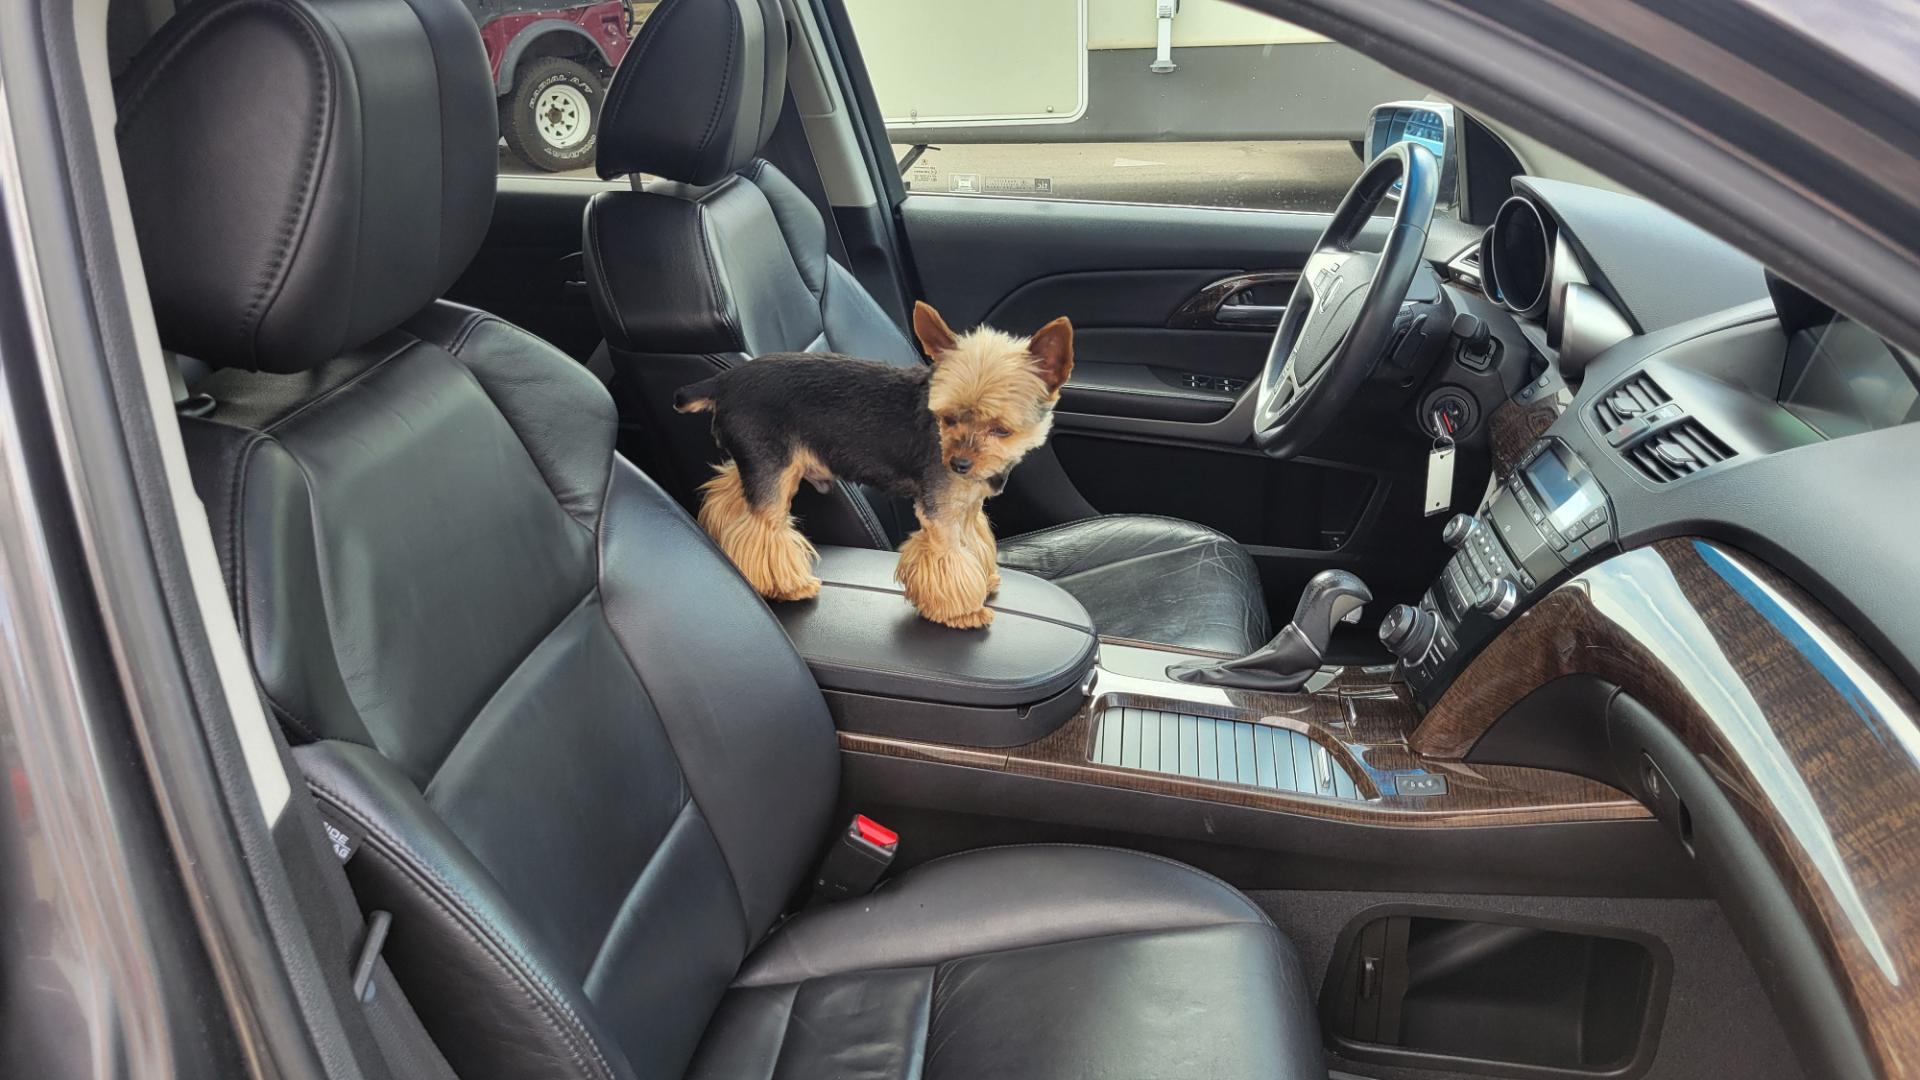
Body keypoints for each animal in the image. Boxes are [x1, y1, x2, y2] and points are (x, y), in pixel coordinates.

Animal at [675, 297, 1075, 626]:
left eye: (1001, 430)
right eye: (947, 419)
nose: (958, 464)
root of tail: (724, 380)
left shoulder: (968, 504)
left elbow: (974, 542)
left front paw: (984, 577)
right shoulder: (941, 511)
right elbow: (948, 556)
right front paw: (962, 611)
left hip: (760, 463)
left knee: (727, 495)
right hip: (773, 465)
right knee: (762, 528)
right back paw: (786, 585)